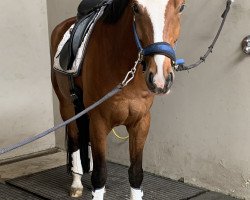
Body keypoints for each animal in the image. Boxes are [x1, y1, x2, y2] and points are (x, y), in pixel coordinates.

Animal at [50, 0, 185, 198]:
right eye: (136, 8)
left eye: (181, 7)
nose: (160, 79)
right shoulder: (98, 122)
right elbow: (99, 175)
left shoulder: (141, 122)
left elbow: (136, 174)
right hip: (67, 108)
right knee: (75, 141)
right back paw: (76, 184)